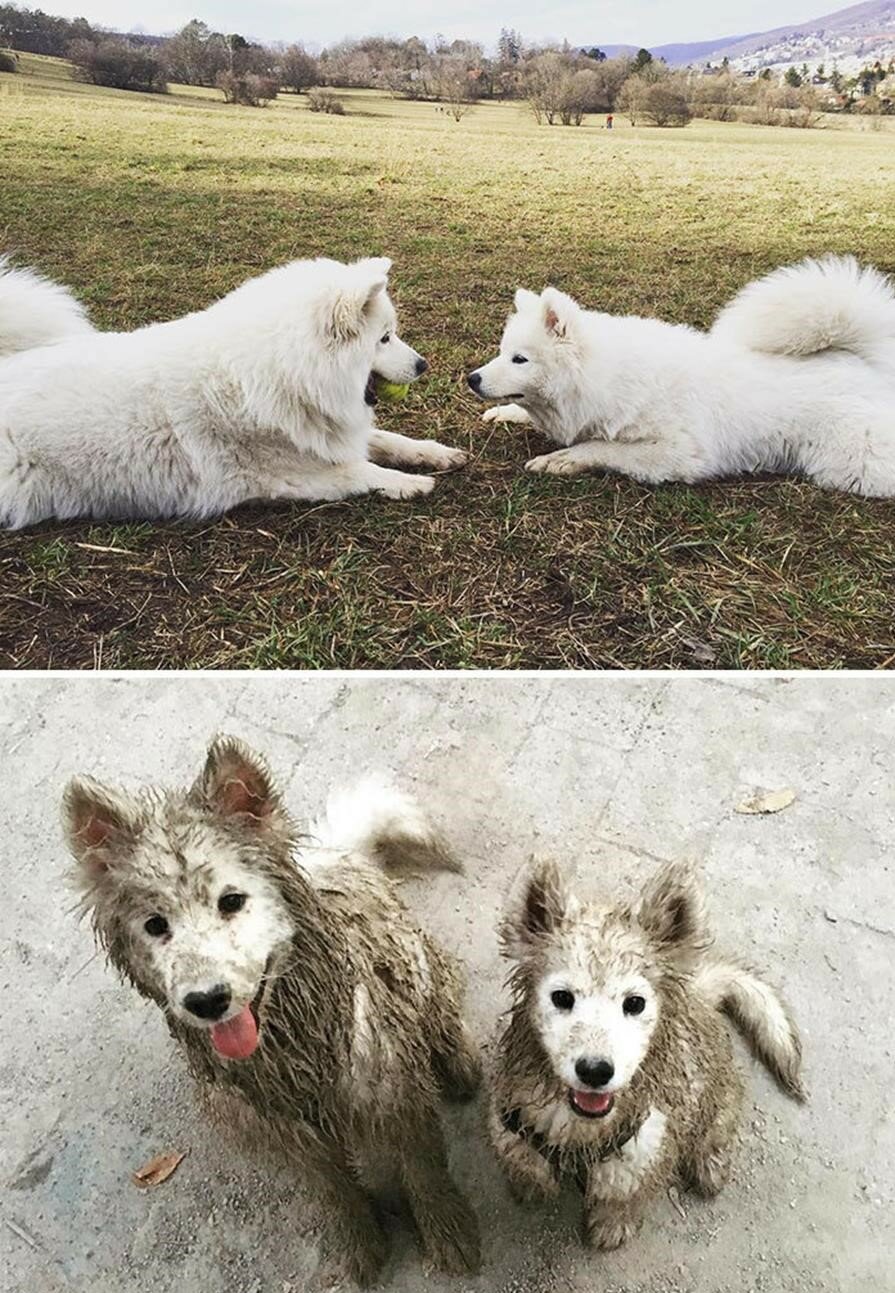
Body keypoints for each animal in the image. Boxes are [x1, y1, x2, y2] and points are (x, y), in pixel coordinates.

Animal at [1, 254, 468, 527]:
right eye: (385, 338)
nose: (424, 365)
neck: (282, 375)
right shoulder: (291, 475)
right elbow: (360, 471)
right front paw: (408, 483)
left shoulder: (327, 431)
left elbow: (390, 439)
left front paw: (436, 454)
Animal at [468, 254, 895, 496]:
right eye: (502, 353)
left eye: (520, 359)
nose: (472, 378)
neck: (606, 378)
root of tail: (865, 364)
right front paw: (505, 414)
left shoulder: (678, 453)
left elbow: (602, 448)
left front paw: (562, 459)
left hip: (852, 468)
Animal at [488, 858, 801, 1251]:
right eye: (561, 997)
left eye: (634, 1003)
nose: (595, 1070)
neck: (581, 1131)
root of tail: (700, 996)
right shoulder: (511, 1128)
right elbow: (527, 1166)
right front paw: (529, 1187)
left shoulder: (643, 1152)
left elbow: (622, 1198)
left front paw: (612, 1226)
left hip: (720, 1100)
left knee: (717, 1132)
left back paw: (710, 1164)